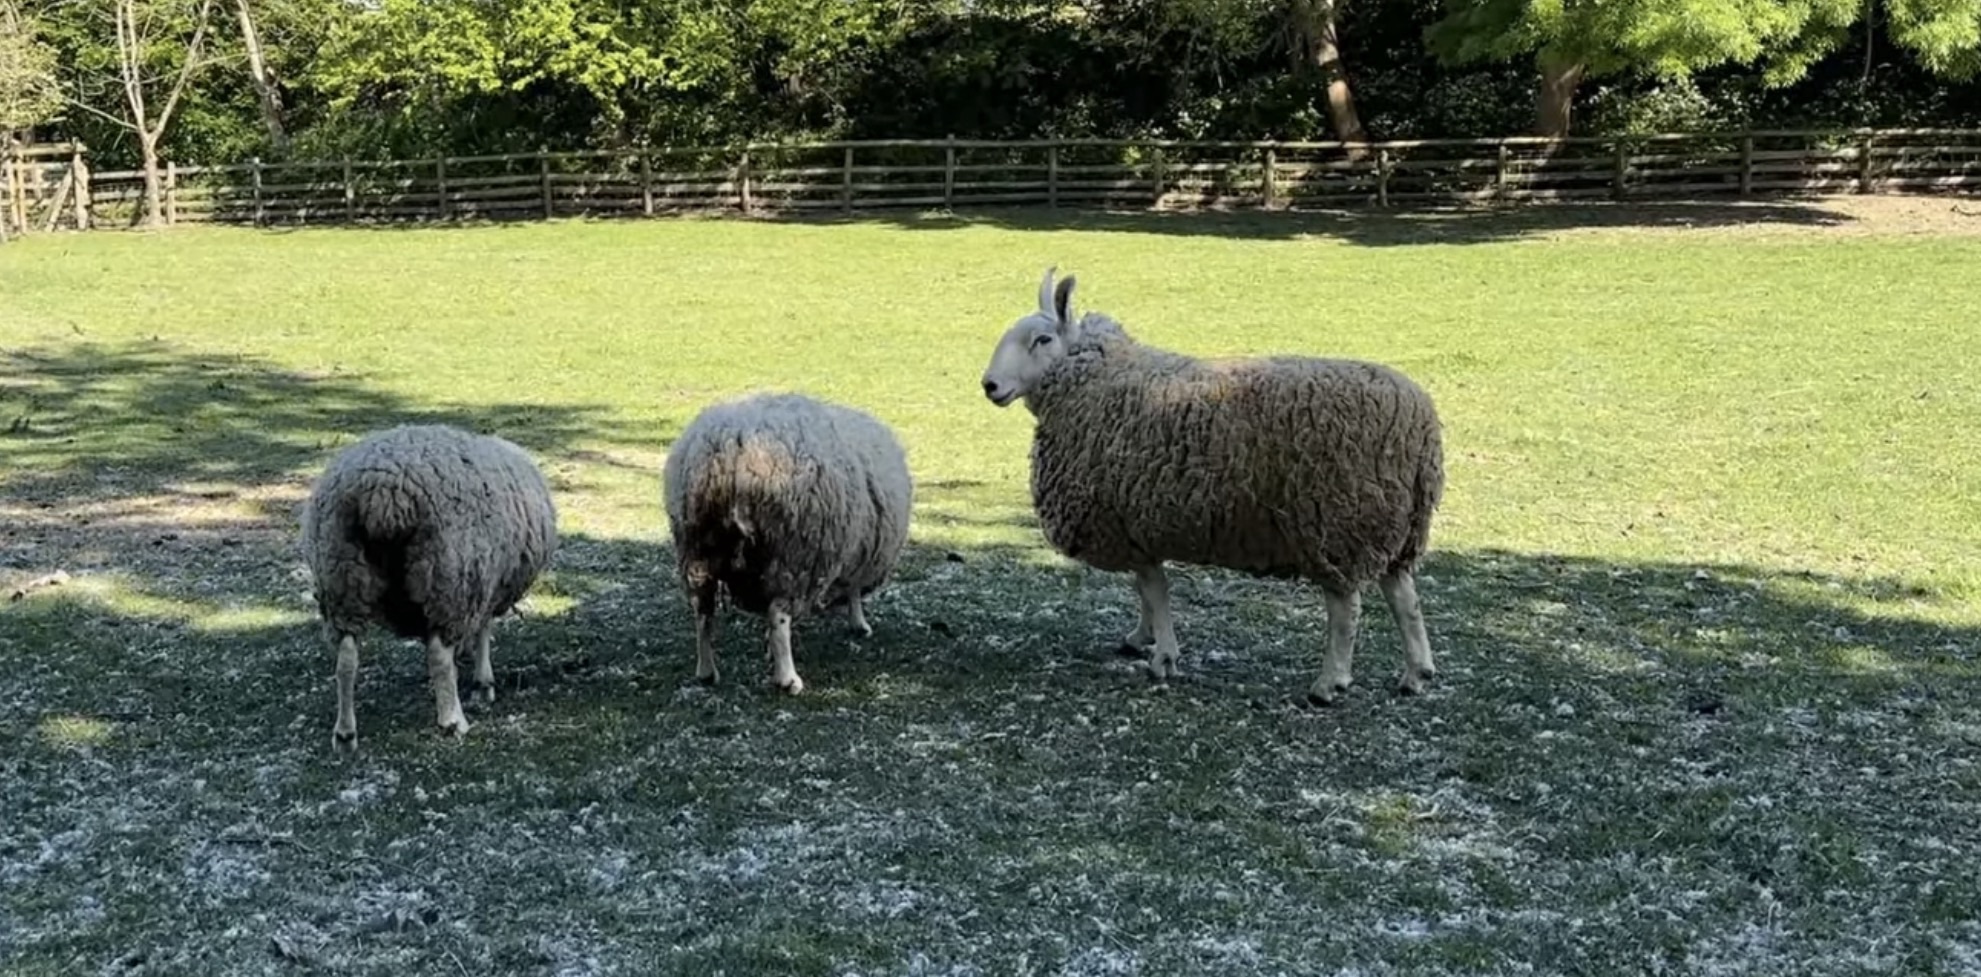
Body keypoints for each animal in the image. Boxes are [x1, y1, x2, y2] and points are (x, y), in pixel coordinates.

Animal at [299, 423, 558, 749]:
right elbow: (483, 631)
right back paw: (452, 721)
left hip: (341, 576)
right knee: (438, 655)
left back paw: (345, 734)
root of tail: (383, 491)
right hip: (447, 575)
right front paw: (483, 683)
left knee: (346, 658)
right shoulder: (482, 581)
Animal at [662, 391, 914, 695]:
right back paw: (788, 679)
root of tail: (729, 452)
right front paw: (859, 623)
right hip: (792, 555)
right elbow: (853, 591)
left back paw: (706, 671)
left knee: (702, 610)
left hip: (697, 549)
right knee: (778, 615)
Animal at [978, 266, 1445, 706]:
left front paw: (1163, 656)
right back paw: (1416, 674)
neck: (1098, 379)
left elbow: (1155, 590)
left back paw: (1329, 684)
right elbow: (1146, 590)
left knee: (1346, 608)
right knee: (1404, 598)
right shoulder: (1136, 526)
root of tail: (1421, 423)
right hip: (1392, 526)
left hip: (1337, 523)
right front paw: (1141, 638)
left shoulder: (1129, 520)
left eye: (1041, 339)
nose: (990, 386)